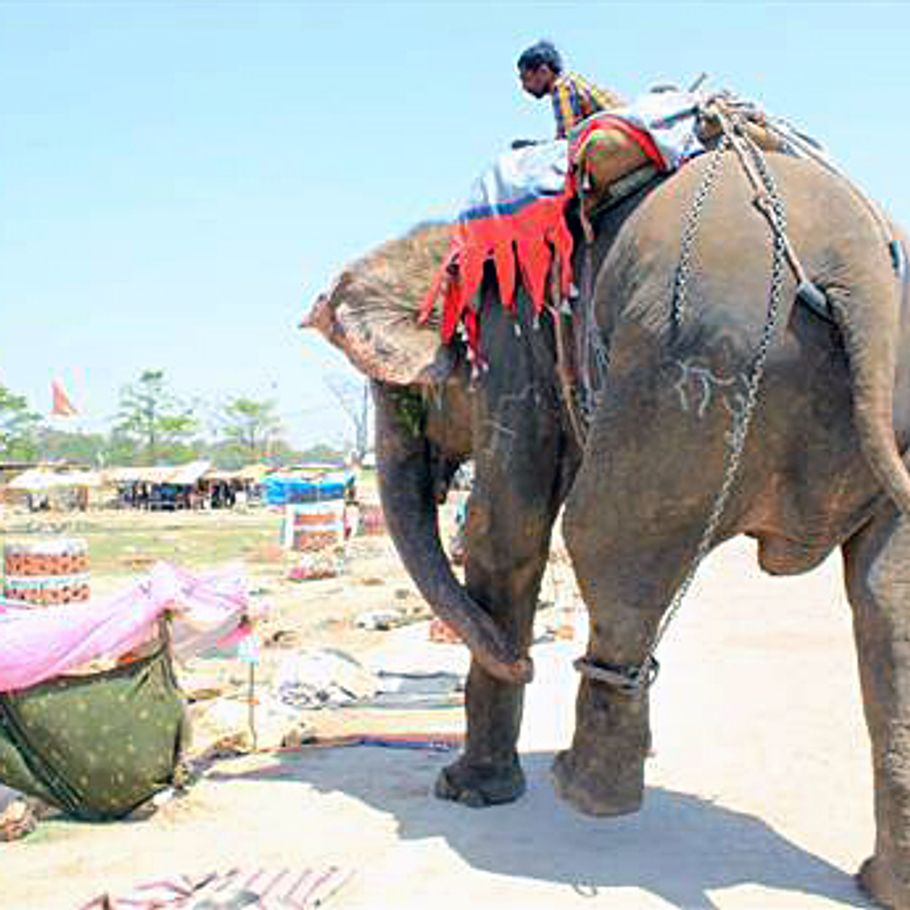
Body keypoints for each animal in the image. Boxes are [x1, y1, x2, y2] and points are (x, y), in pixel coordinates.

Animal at [304, 146, 910, 908]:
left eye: (404, 395)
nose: (527, 661)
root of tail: (861, 271)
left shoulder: (512, 347)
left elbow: (508, 529)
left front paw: (468, 792)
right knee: (887, 601)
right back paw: (879, 883)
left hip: (689, 369)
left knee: (604, 539)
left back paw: (584, 789)